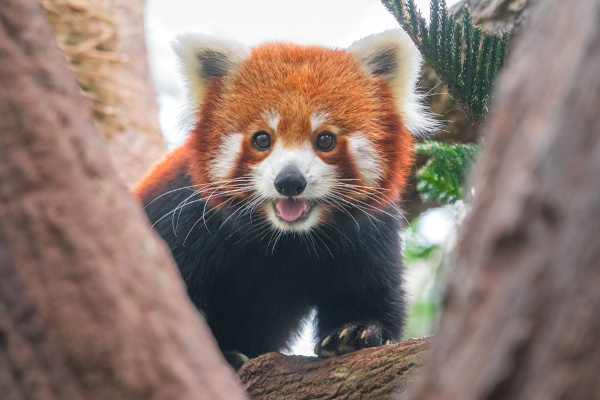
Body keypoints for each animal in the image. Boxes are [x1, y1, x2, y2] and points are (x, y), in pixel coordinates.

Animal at [135, 30, 436, 368]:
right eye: (262, 139)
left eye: (325, 139)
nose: (289, 182)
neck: (285, 238)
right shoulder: (182, 217)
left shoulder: (369, 232)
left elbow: (371, 291)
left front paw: (357, 331)